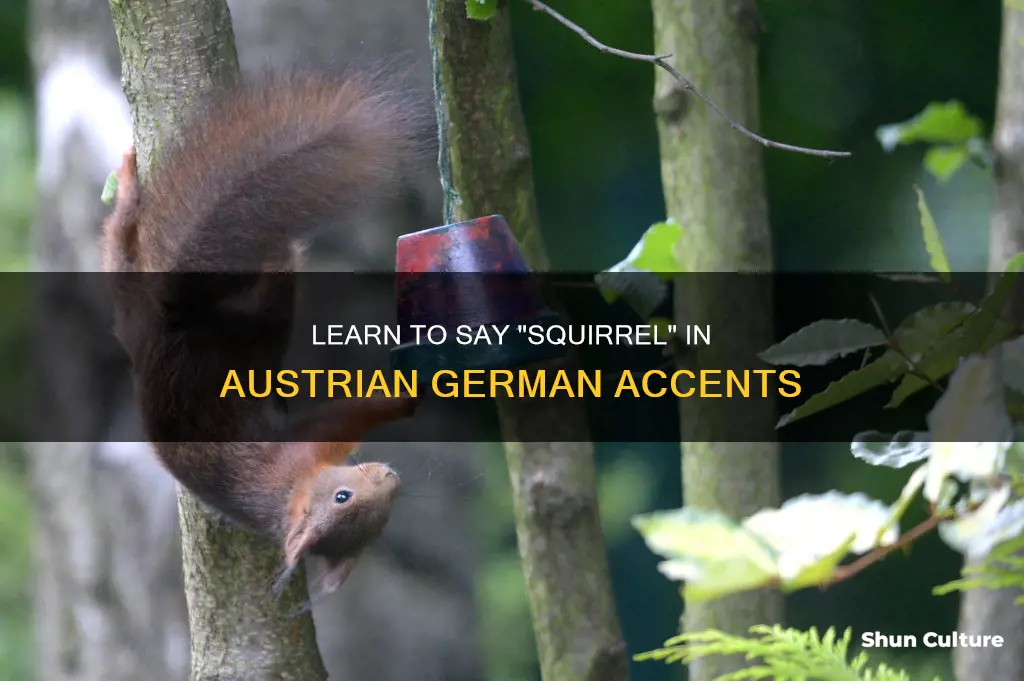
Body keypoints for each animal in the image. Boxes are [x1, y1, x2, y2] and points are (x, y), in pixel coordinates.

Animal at [100, 70, 427, 597]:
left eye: (382, 522)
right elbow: (351, 414)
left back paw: (127, 191)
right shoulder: (304, 446)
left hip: (129, 299)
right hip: (256, 320)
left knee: (119, 243)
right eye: (342, 498)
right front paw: (405, 394)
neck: (284, 499)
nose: (389, 477)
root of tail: (171, 317)